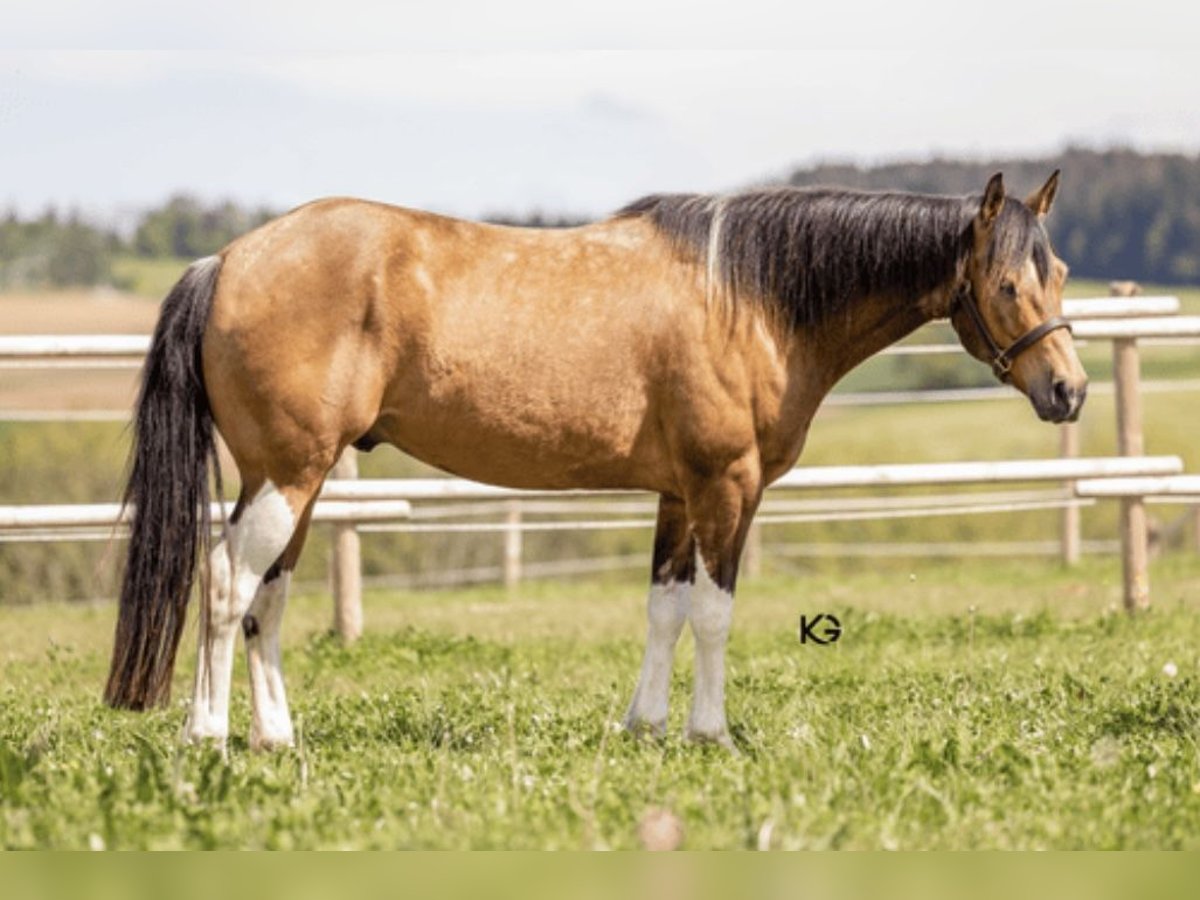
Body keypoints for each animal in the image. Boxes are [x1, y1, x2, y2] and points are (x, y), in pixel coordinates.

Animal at [105, 172, 1089, 748]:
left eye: (1063, 273)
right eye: (1007, 284)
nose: (1069, 391)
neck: (749, 297)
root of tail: (227, 259)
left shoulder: (678, 495)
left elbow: (664, 608)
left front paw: (645, 727)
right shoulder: (727, 488)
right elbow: (714, 615)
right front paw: (709, 734)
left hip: (296, 482)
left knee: (266, 598)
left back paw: (276, 739)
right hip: (288, 474)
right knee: (226, 582)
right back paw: (207, 737)